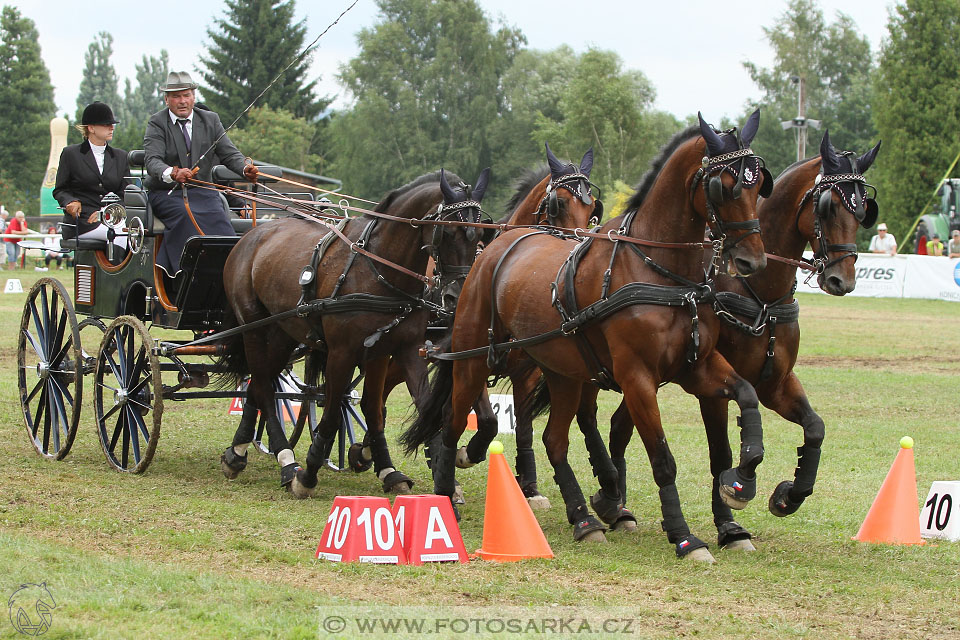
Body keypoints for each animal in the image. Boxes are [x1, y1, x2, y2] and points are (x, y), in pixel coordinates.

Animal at [215, 166, 492, 496]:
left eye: (481, 234)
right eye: (446, 232)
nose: (459, 296)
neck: (379, 269)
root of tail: (252, 234)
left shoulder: (396, 350)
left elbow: (395, 409)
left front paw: (398, 471)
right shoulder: (342, 353)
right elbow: (333, 413)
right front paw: (307, 475)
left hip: (284, 333)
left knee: (260, 382)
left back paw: (238, 452)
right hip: (254, 329)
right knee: (264, 385)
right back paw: (285, 461)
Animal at [404, 111, 772, 560]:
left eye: (759, 183)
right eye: (725, 185)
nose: (752, 260)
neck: (664, 273)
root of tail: (496, 248)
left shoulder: (696, 367)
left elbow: (747, 394)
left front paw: (742, 479)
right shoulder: (637, 378)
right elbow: (662, 458)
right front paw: (684, 536)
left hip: (561, 373)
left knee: (554, 440)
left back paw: (583, 519)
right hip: (473, 360)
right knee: (454, 422)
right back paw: (446, 497)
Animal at [608, 130, 884, 544]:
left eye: (863, 209)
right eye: (828, 207)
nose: (843, 280)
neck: (761, 294)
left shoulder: (776, 383)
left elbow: (815, 428)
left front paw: (790, 495)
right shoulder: (712, 388)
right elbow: (721, 454)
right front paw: (731, 514)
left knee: (618, 428)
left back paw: (614, 502)